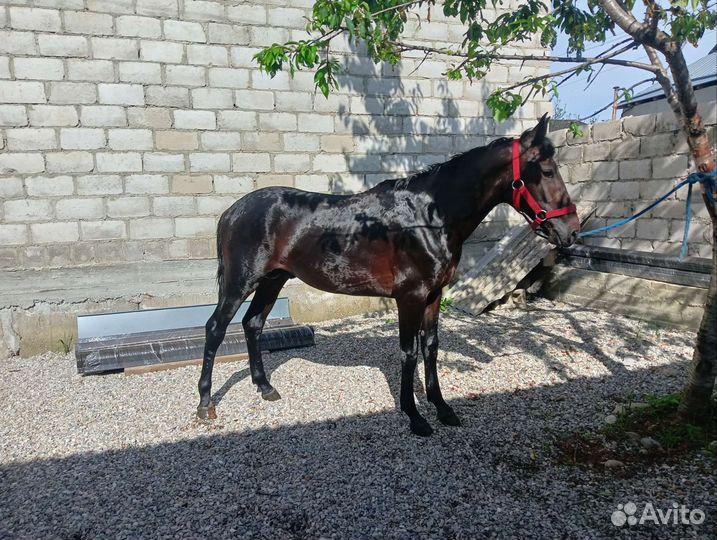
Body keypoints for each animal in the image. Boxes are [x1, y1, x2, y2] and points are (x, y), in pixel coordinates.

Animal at [197, 114, 580, 436]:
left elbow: (430, 347)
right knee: (216, 328)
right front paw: (415, 416)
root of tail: (232, 211)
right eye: (547, 171)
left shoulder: (434, 296)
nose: (572, 230)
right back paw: (205, 404)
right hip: (240, 282)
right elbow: (408, 352)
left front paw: (442, 408)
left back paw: (265, 387)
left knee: (253, 325)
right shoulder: (410, 297)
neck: (429, 216)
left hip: (273, 281)